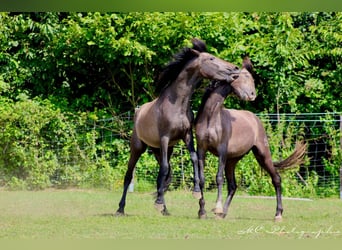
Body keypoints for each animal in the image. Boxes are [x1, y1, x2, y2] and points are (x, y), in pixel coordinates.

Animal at [115, 38, 256, 216]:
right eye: (211, 58)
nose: (234, 68)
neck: (177, 105)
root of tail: (138, 111)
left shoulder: (187, 136)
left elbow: (193, 158)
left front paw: (196, 193)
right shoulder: (165, 138)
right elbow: (165, 169)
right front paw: (160, 202)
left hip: (160, 150)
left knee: (162, 175)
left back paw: (164, 209)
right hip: (138, 147)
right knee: (129, 175)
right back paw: (120, 208)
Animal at [194, 60, 308, 221]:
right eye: (246, 76)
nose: (253, 95)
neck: (211, 117)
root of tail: (254, 118)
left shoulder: (222, 151)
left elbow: (219, 178)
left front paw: (216, 208)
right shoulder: (201, 149)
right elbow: (202, 179)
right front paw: (202, 211)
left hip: (262, 154)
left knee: (276, 179)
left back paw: (278, 214)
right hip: (232, 160)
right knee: (233, 186)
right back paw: (223, 213)